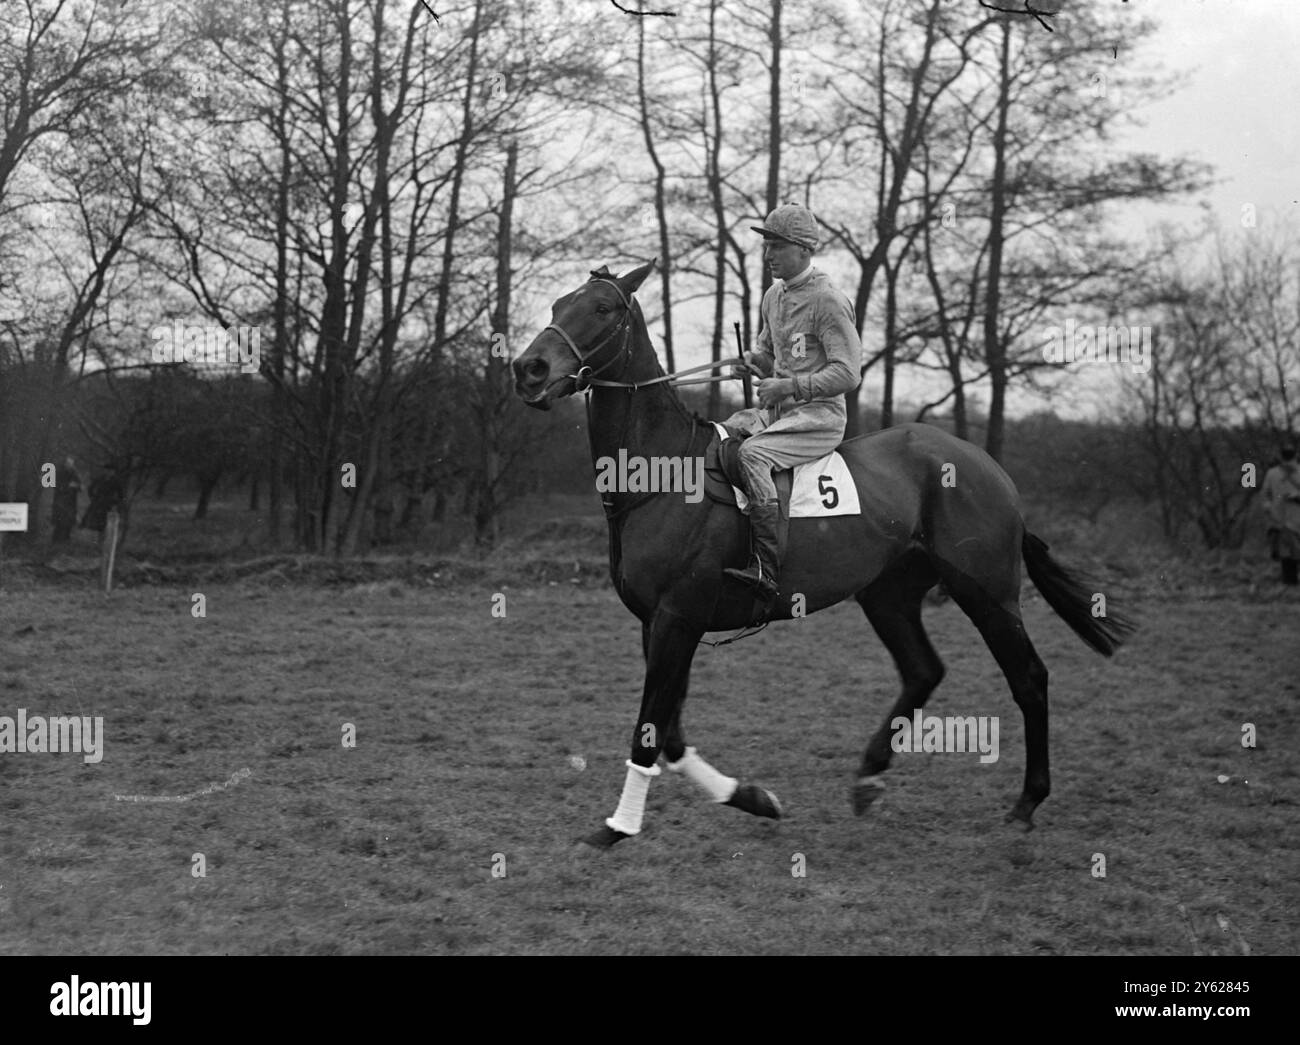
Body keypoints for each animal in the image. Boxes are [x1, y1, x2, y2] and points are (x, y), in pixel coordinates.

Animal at [512, 258, 1133, 847]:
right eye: (559, 303)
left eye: (602, 309)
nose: (529, 369)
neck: (661, 475)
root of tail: (991, 470)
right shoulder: (659, 624)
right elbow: (671, 735)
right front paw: (754, 798)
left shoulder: (676, 619)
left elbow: (649, 732)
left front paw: (617, 827)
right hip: (888, 595)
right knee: (924, 670)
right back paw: (868, 777)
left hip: (988, 593)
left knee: (1029, 678)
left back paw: (1028, 802)